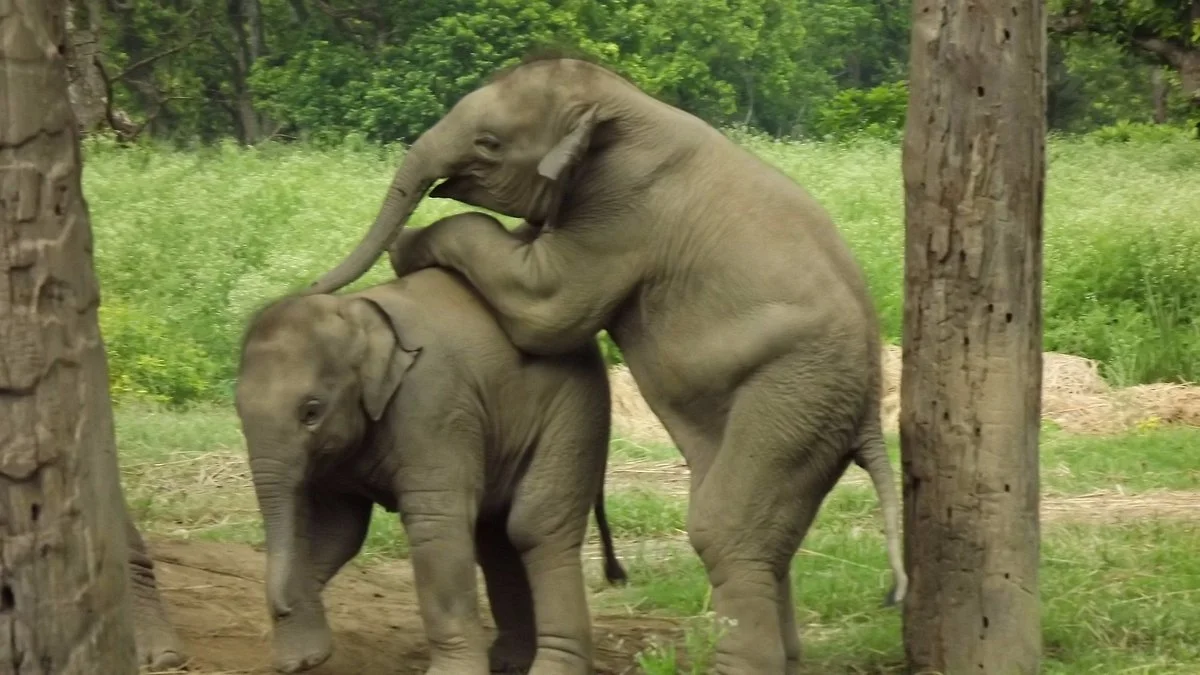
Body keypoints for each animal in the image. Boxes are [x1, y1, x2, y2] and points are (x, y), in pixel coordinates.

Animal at [234, 269, 627, 675]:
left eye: (311, 411)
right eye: (237, 409)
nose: (281, 609)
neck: (356, 310)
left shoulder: (433, 406)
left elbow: (435, 524)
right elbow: (338, 531)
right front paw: (303, 659)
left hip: (574, 412)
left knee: (534, 525)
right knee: (495, 536)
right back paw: (509, 662)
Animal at [304, 52, 909, 674]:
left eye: (489, 144)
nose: (311, 287)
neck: (619, 101)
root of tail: (869, 412)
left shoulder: (621, 210)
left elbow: (547, 306)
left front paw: (408, 246)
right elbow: (525, 255)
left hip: (794, 394)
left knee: (725, 527)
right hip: (805, 412)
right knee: (763, 532)